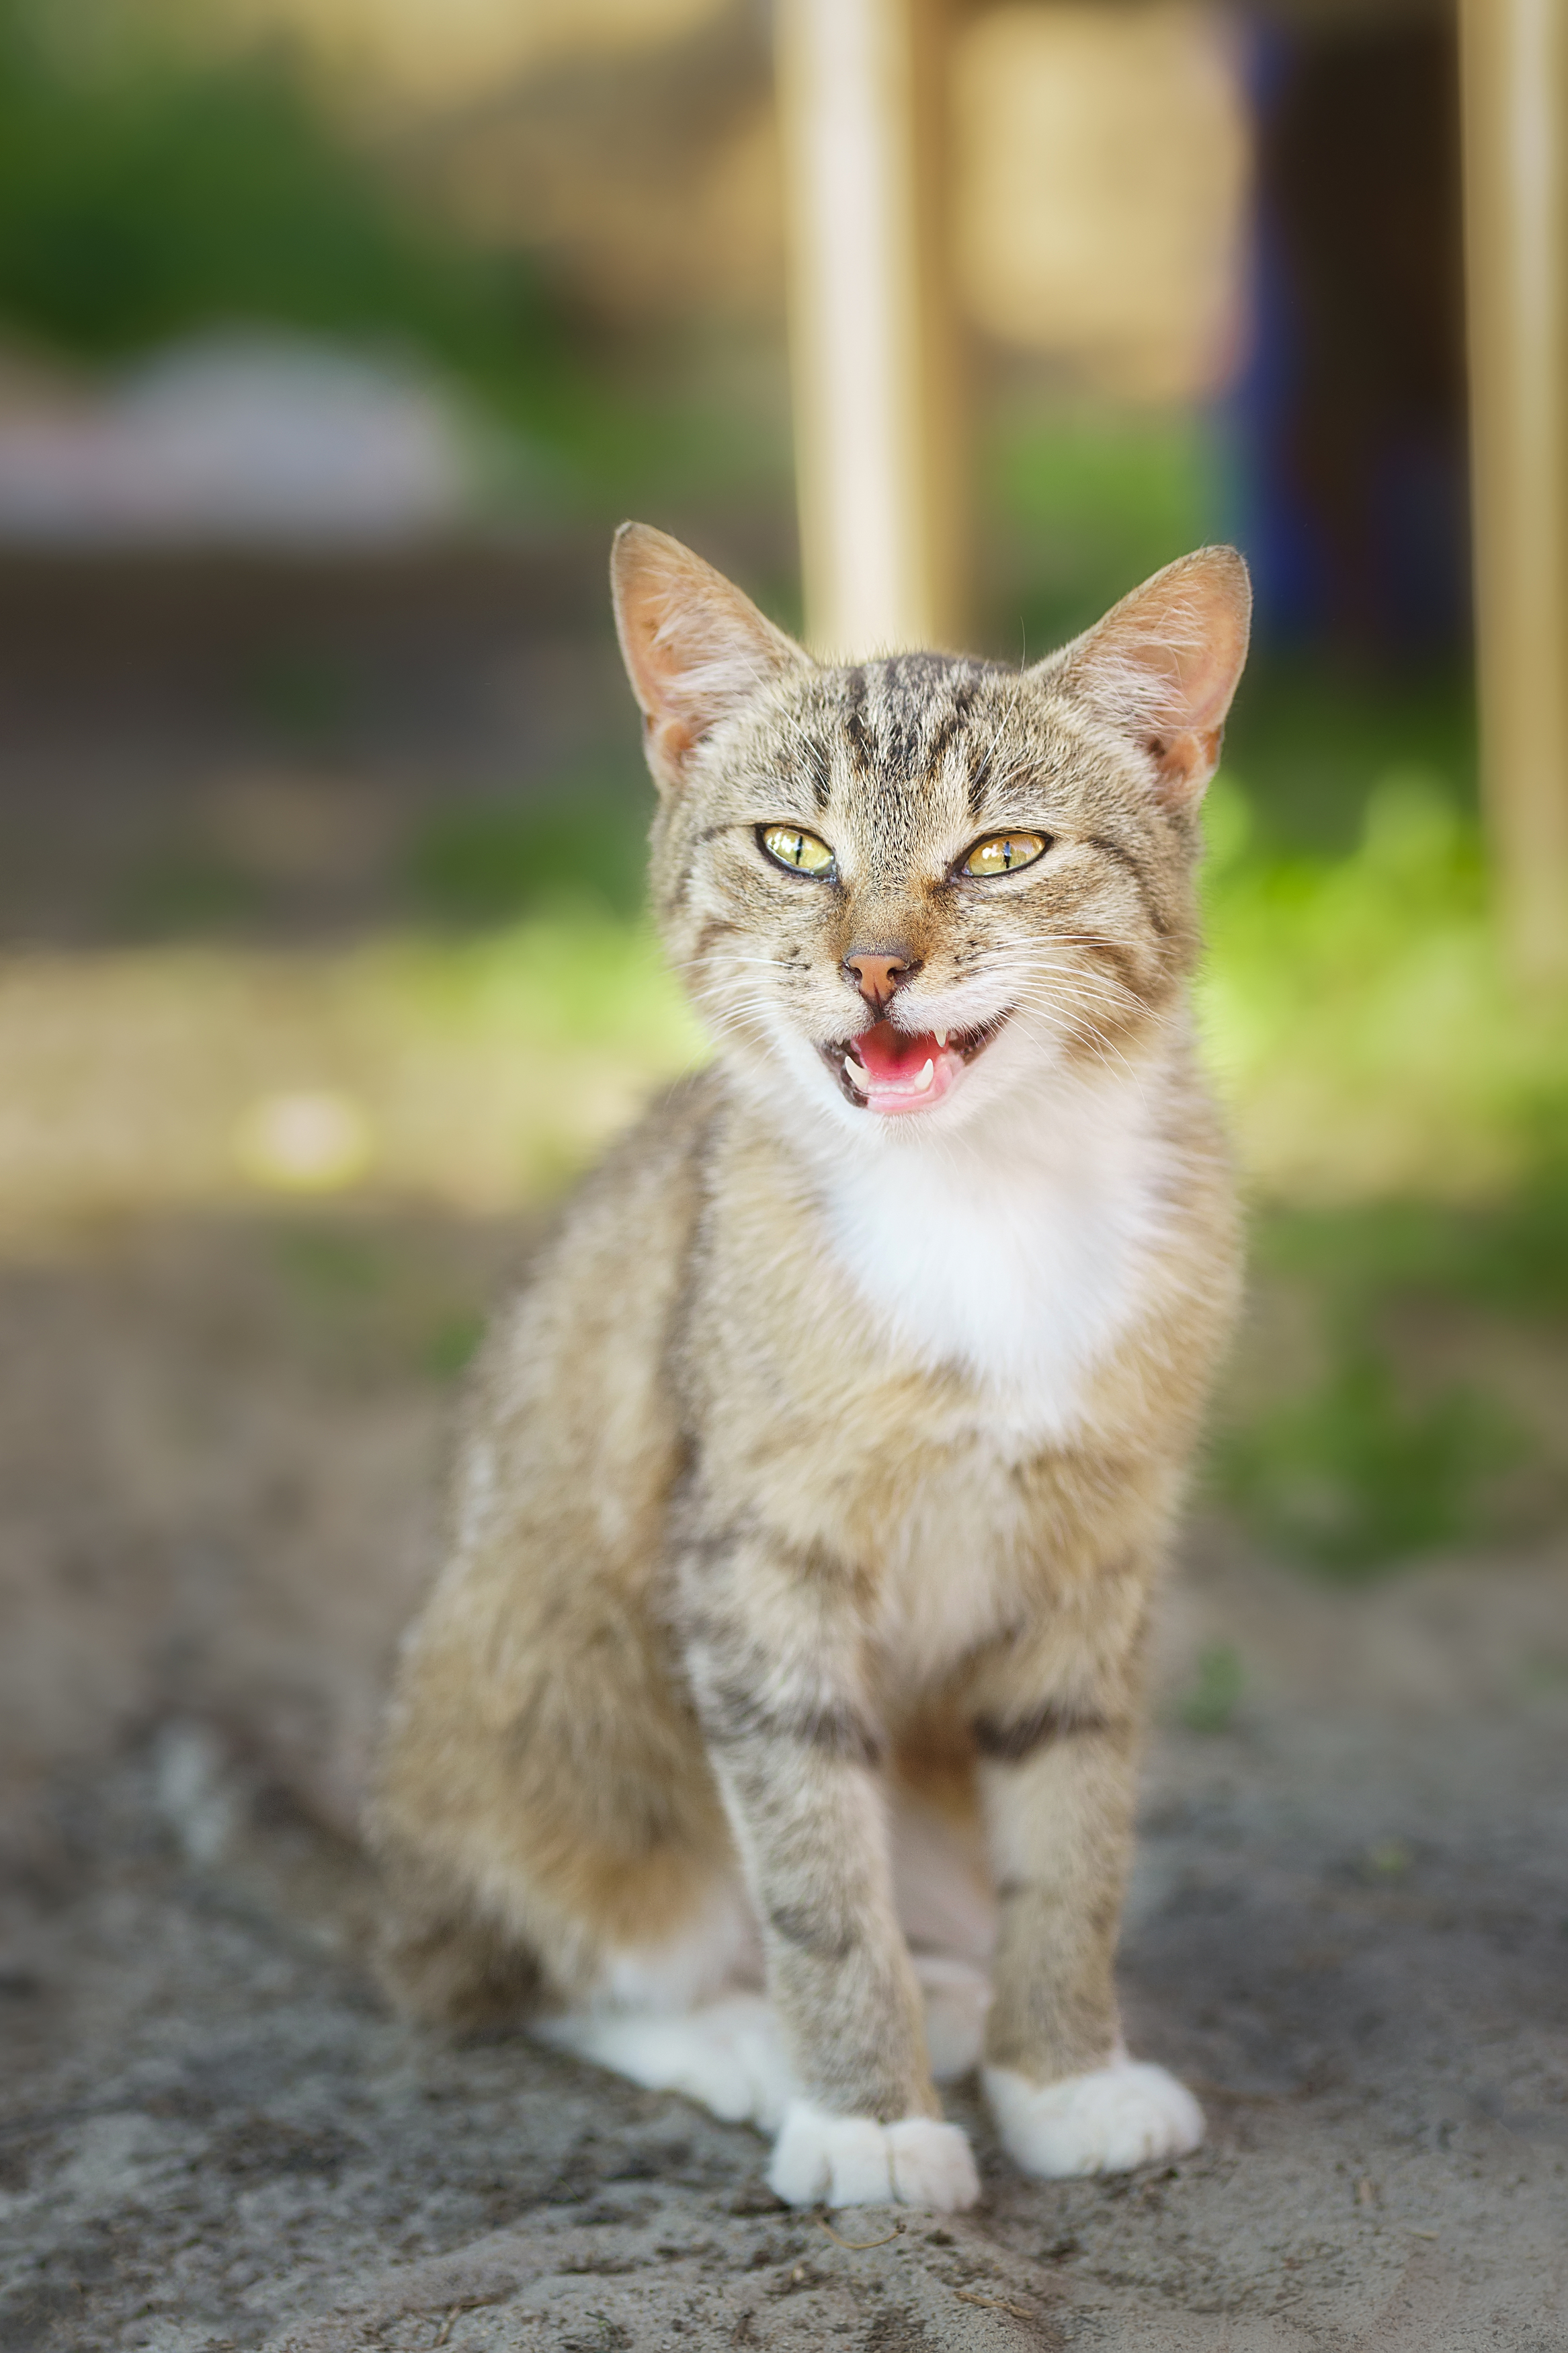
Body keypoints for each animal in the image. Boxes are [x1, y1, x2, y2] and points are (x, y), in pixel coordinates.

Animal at [369, 524, 1250, 2212]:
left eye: (1002, 854)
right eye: (792, 848)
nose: (877, 968)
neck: (980, 1195)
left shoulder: (1098, 1551)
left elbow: (1074, 1841)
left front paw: (1063, 2071)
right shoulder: (752, 1563)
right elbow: (812, 1868)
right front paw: (862, 2112)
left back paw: (958, 1998)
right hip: (556, 1688)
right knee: (523, 1968)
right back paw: (737, 2037)